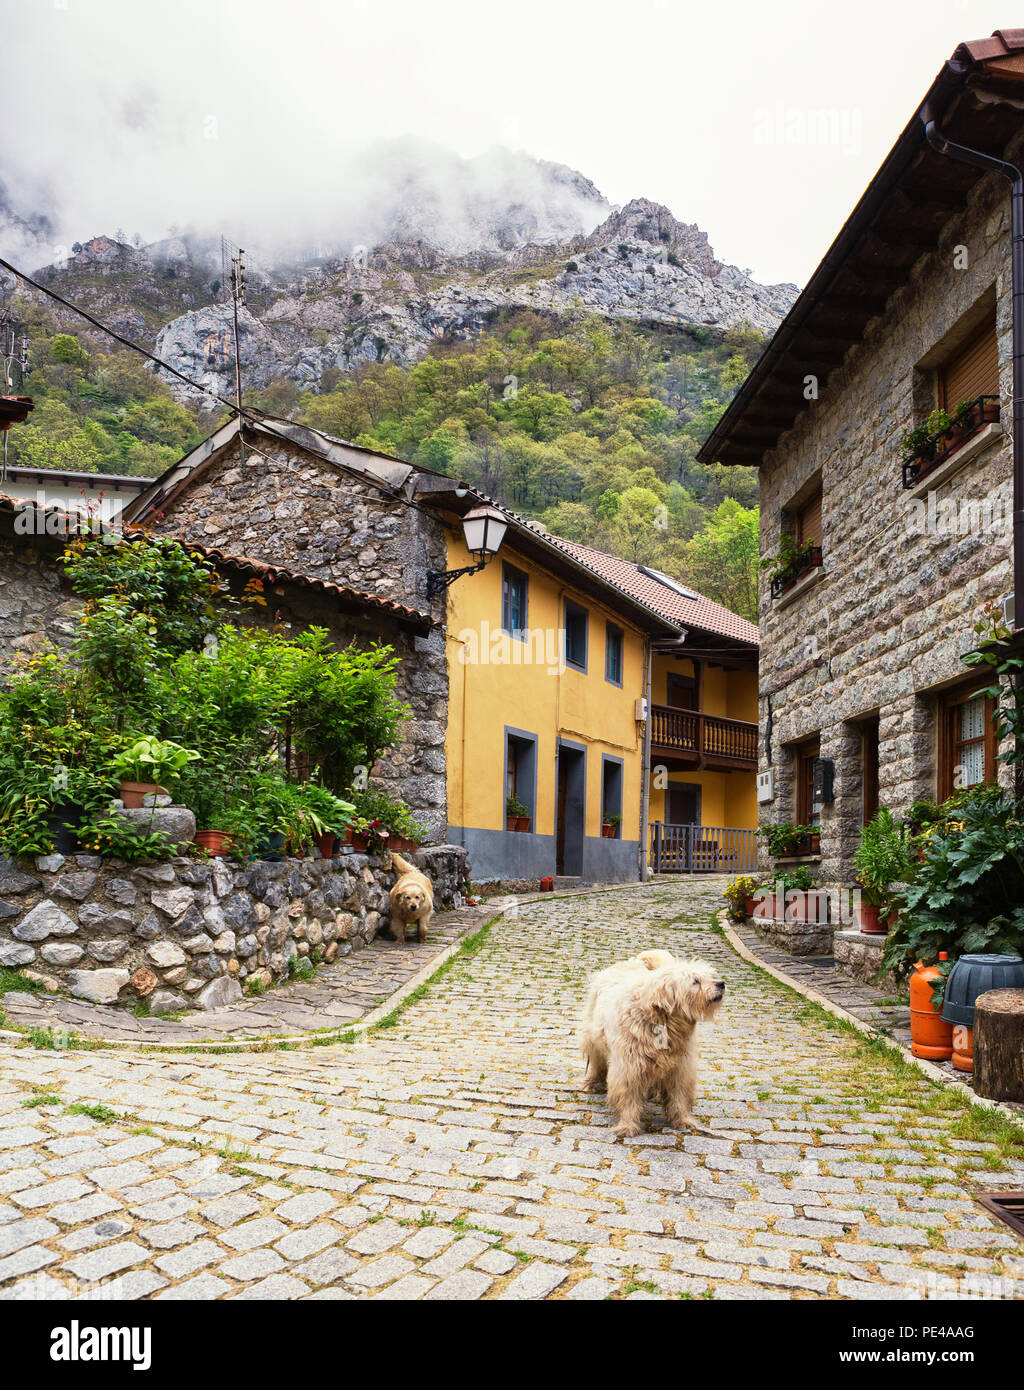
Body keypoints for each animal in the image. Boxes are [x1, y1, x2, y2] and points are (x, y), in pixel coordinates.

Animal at [577, 956, 722, 1139]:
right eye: (695, 981)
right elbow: (629, 1097)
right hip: (594, 1038)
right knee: (597, 1062)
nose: (721, 984)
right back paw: (593, 1082)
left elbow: (679, 1096)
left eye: (709, 976)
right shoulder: (629, 1068)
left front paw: (682, 1119)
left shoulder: (680, 1068)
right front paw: (628, 1125)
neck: (663, 1022)